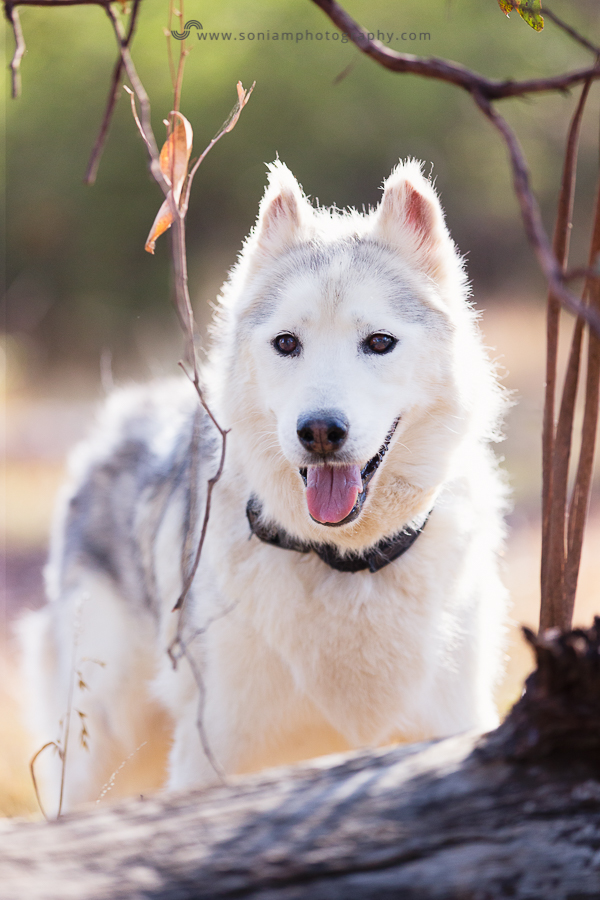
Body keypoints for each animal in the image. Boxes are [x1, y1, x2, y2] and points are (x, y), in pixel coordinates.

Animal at [22, 162, 506, 816]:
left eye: (379, 342)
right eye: (286, 343)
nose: (320, 431)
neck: (346, 564)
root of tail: (122, 415)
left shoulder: (448, 728)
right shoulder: (216, 754)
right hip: (102, 742)